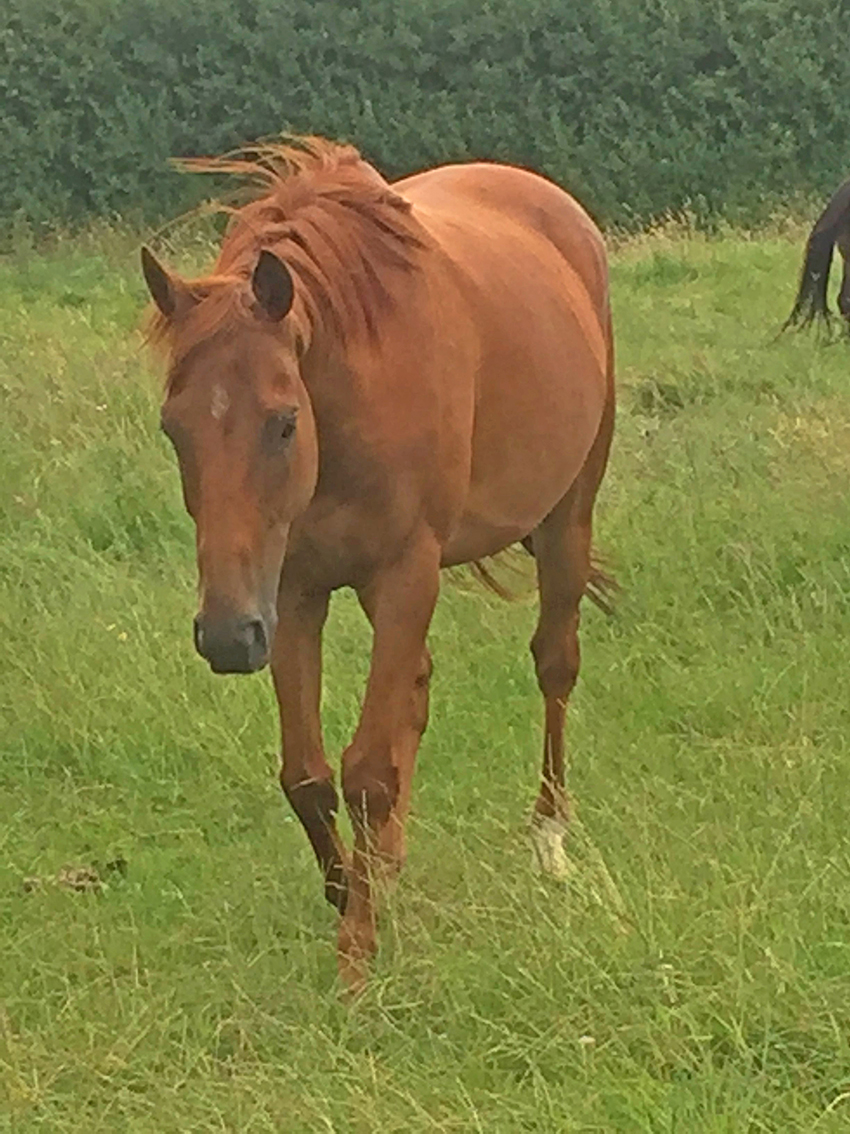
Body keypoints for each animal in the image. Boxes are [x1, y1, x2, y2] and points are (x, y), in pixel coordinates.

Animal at [141, 137, 616, 989]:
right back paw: (391, 860)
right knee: (416, 691)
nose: (226, 637)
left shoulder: (403, 574)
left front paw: (357, 953)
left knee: (555, 665)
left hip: (567, 519)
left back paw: (550, 840)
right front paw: (349, 890)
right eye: (174, 427)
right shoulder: (292, 592)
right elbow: (307, 775)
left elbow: (365, 773)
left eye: (282, 422)